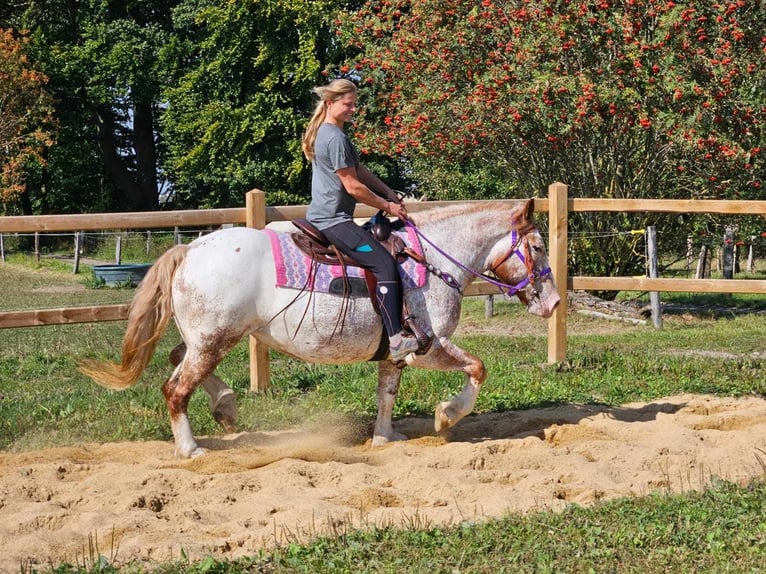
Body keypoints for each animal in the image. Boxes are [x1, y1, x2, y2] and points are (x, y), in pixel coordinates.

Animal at [81, 200, 560, 462]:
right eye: (537, 246)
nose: (553, 302)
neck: (431, 262)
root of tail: (188, 250)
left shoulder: (394, 355)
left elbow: (387, 395)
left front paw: (385, 438)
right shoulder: (428, 346)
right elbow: (477, 368)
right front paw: (447, 414)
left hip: (206, 340)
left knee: (176, 358)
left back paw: (226, 405)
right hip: (215, 340)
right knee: (176, 388)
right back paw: (191, 448)